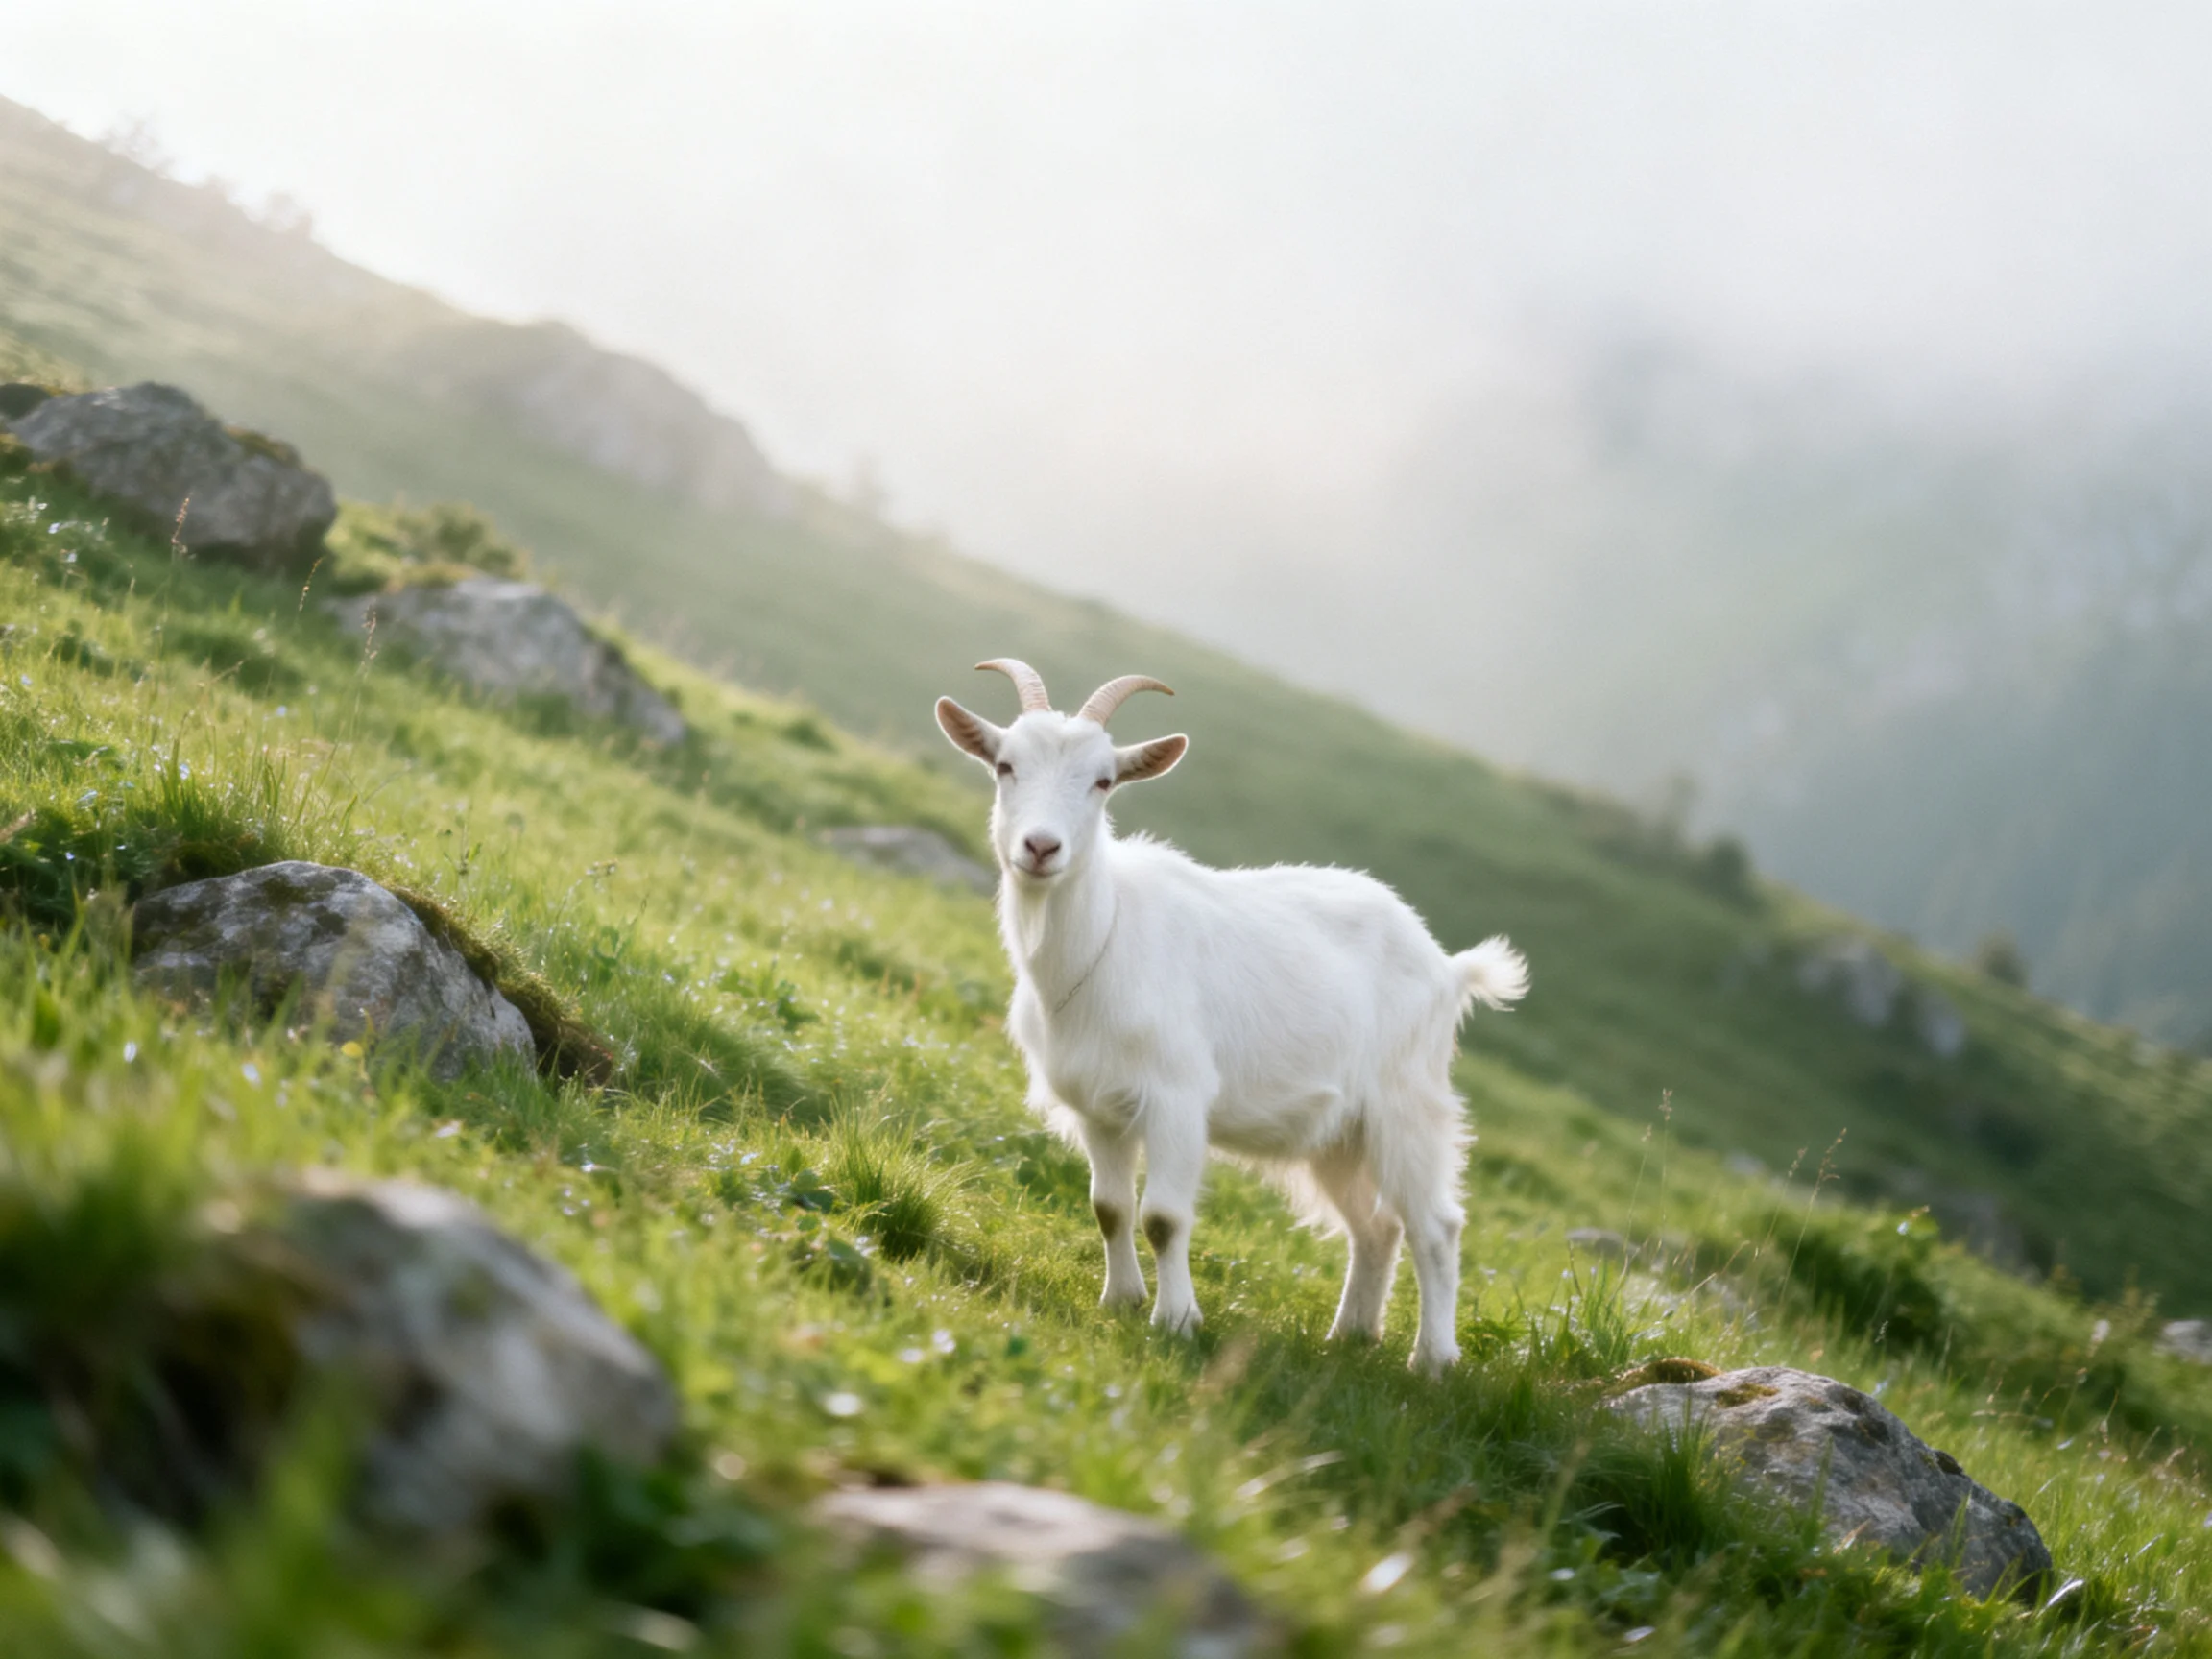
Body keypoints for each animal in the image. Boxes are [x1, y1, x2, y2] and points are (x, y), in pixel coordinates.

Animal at [937, 659, 1528, 1374]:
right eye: (1005, 766)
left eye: (1103, 781)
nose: (1041, 848)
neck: (1103, 937)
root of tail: (1447, 967)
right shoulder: (1098, 1107)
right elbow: (1109, 1207)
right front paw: (1121, 1301)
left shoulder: (1176, 1098)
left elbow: (1163, 1216)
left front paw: (1177, 1320)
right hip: (1340, 1133)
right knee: (1376, 1227)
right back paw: (1350, 1336)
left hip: (1407, 1102)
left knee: (1437, 1225)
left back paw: (1433, 1360)